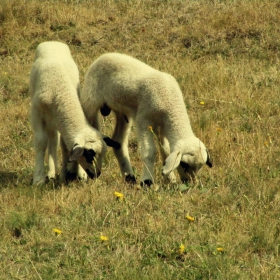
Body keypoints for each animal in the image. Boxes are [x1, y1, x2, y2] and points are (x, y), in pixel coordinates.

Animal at [29, 41, 119, 185]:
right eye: (89, 155)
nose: (97, 175)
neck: (60, 92)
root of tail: (53, 41)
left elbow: (65, 145)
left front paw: (73, 174)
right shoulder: (36, 114)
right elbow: (41, 142)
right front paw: (38, 179)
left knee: (54, 141)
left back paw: (53, 173)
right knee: (51, 141)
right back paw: (51, 173)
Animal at [80, 52, 212, 188]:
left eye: (199, 167)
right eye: (184, 164)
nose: (190, 182)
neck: (170, 103)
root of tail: (103, 56)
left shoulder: (161, 127)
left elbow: (165, 151)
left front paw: (171, 178)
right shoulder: (143, 120)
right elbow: (150, 152)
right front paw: (147, 181)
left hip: (122, 111)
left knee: (119, 142)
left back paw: (129, 177)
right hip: (90, 101)